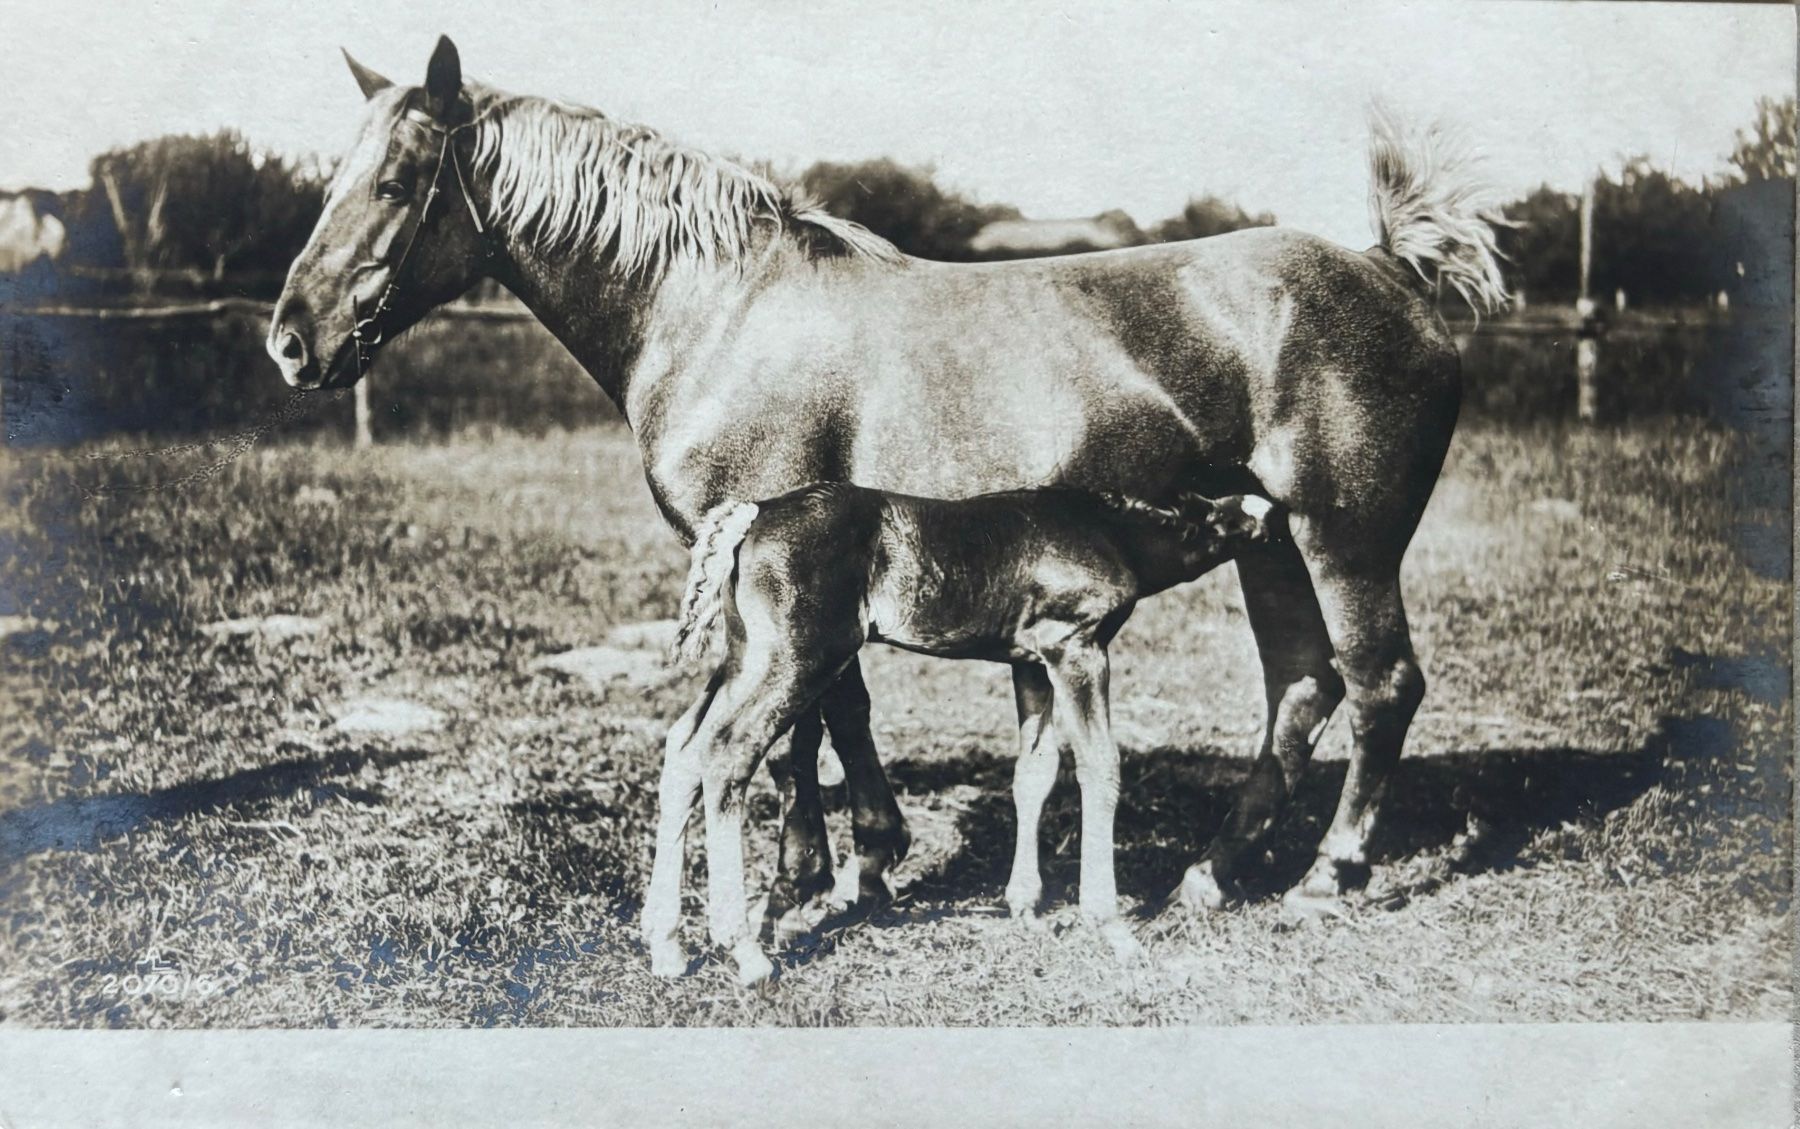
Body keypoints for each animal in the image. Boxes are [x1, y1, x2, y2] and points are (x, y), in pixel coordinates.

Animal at [653, 485, 1275, 984]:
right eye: (1217, 513)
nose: (1269, 510)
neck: (1114, 532)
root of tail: (751, 514)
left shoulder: (1031, 664)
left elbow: (1035, 771)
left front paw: (1024, 906)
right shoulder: (1076, 647)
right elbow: (1101, 768)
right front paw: (1111, 927)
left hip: (746, 657)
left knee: (685, 747)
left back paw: (666, 948)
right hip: (797, 659)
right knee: (727, 752)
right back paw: (744, 953)